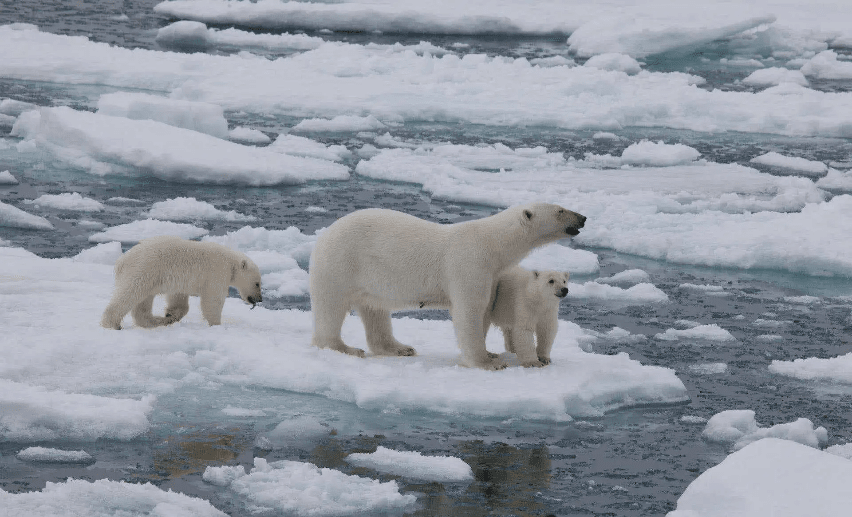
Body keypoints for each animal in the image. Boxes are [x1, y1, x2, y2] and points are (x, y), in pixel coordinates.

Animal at [100, 236, 262, 328]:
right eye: (257, 283)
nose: (260, 299)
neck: (231, 262)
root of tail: (122, 260)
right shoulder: (217, 272)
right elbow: (212, 300)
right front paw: (216, 325)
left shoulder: (180, 282)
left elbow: (178, 299)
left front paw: (170, 315)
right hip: (143, 270)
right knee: (129, 294)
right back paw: (113, 324)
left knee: (143, 303)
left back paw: (155, 321)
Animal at [308, 203, 584, 370]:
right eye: (560, 210)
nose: (583, 217)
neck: (492, 244)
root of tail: (325, 234)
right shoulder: (470, 263)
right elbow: (469, 312)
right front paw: (488, 362)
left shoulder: (492, 275)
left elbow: (485, 311)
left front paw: (492, 354)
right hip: (341, 263)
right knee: (331, 307)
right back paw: (345, 348)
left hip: (369, 276)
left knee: (374, 309)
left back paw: (399, 348)